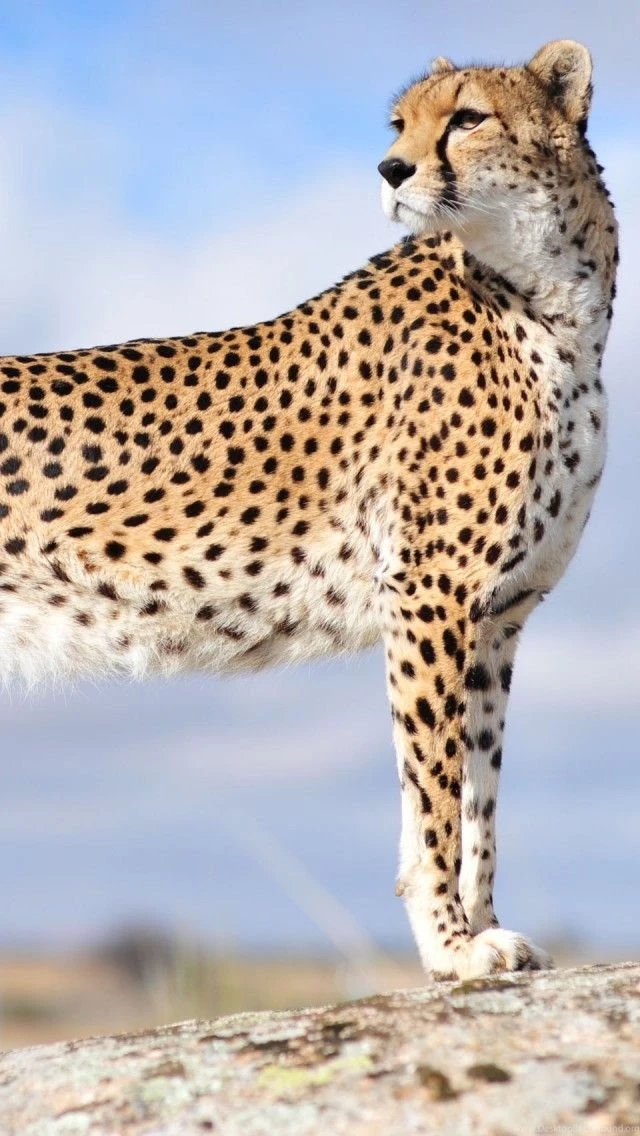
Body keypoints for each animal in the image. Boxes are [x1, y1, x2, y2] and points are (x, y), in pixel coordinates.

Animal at [0, 40, 617, 979]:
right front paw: (448, 947)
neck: (550, 299)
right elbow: (434, 794)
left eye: (467, 118)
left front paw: (483, 930)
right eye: (399, 125)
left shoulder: (498, 615)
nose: (391, 169)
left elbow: (480, 793)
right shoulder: (430, 595)